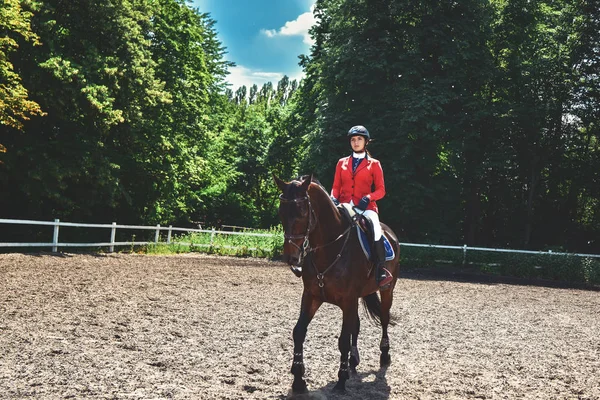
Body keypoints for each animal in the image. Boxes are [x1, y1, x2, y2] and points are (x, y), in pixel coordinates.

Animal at [274, 174, 400, 394]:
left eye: (302, 212)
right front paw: (298, 379)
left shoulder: (347, 301)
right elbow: (299, 332)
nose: (291, 258)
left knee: (384, 319)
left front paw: (341, 381)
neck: (329, 248)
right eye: (281, 212)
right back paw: (353, 360)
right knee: (356, 325)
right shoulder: (312, 296)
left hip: (387, 290)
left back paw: (384, 356)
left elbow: (342, 340)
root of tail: (389, 232)